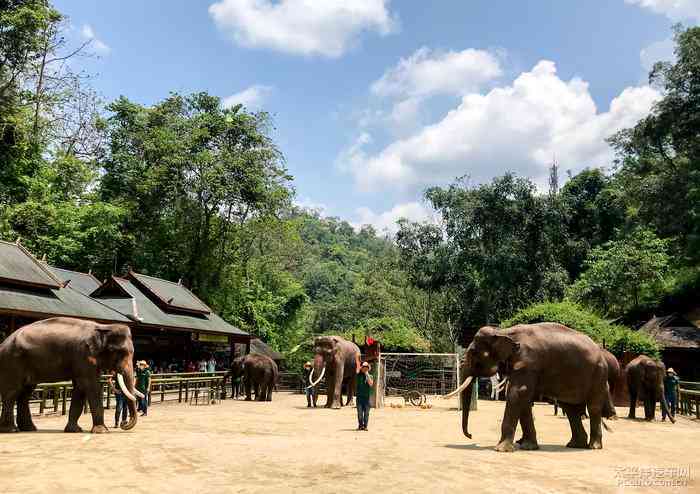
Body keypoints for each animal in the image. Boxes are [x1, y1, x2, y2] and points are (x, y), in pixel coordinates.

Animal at [0, 316, 141, 432]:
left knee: (25, 393)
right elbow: (91, 386)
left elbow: (80, 388)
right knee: (13, 392)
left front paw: (74, 430)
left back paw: (29, 429)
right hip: (12, 361)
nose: (123, 423)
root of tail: (4, 342)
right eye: (117, 352)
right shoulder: (82, 355)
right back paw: (11, 430)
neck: (102, 327)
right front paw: (102, 431)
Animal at [448, 322, 612, 454]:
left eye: (473, 352)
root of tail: (601, 350)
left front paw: (501, 449)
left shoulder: (527, 363)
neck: (503, 331)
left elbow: (517, 393)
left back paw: (593, 446)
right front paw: (528, 447)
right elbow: (524, 400)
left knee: (592, 407)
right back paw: (575, 445)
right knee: (571, 409)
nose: (470, 436)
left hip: (599, 375)